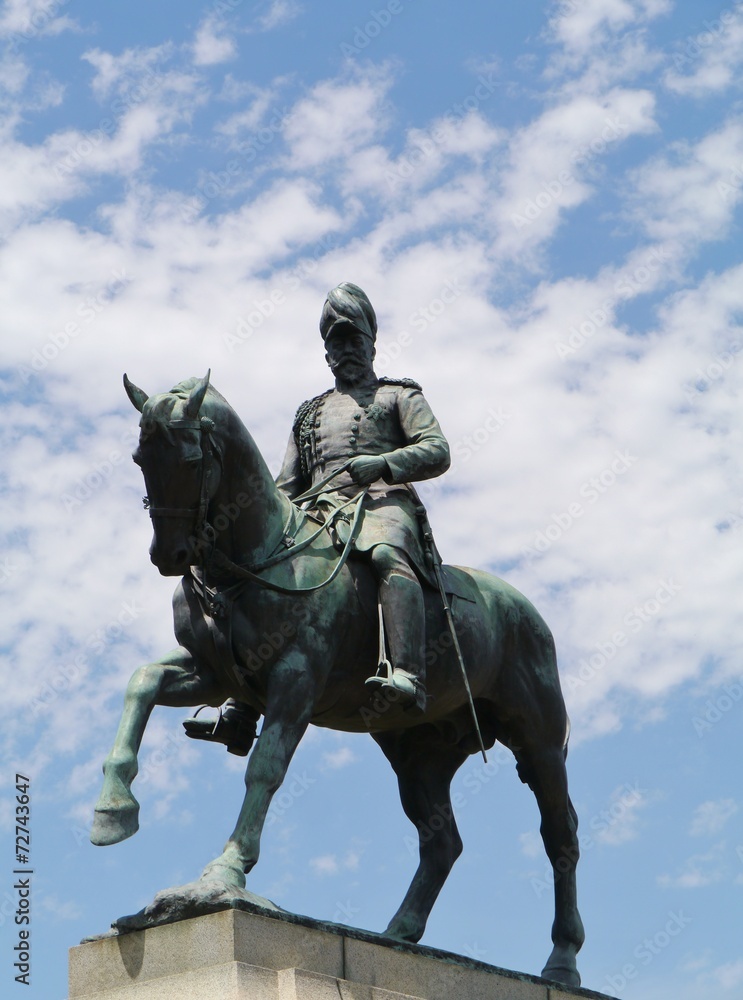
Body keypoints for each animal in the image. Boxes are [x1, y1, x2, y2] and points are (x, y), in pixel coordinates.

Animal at [90, 372, 584, 988]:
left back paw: (562, 961)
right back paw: (397, 935)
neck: (257, 556)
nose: (170, 555)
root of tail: (522, 608)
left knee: (559, 836)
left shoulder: (296, 682)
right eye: (140, 457)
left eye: (191, 457)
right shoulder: (213, 672)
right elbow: (142, 683)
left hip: (537, 742)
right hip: (419, 753)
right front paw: (113, 810)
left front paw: (224, 875)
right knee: (441, 842)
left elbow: (265, 770)